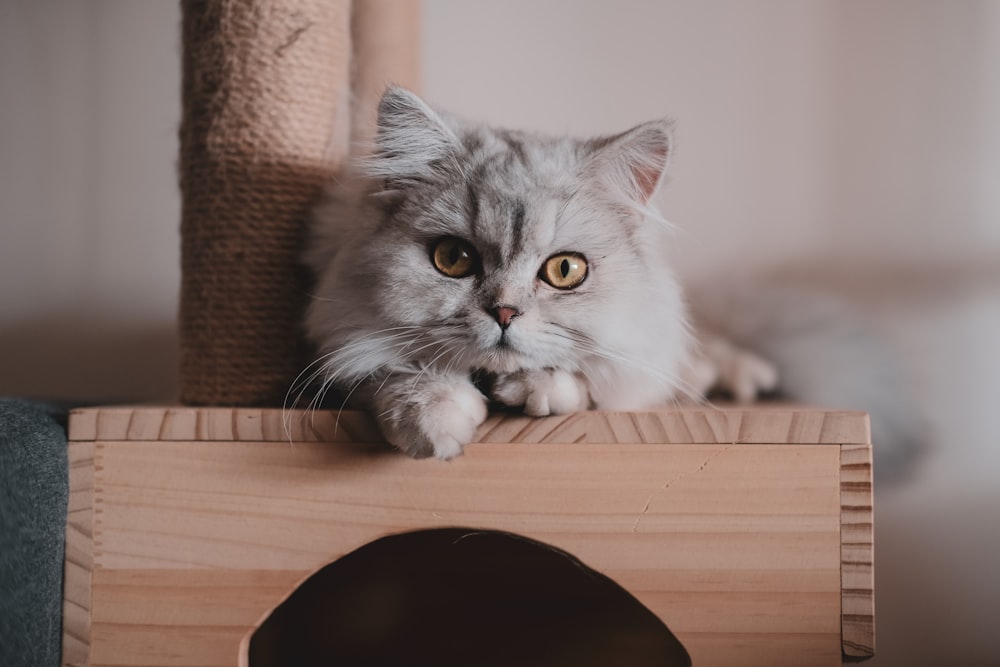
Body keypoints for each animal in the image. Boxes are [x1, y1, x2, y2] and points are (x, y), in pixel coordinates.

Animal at [300, 86, 776, 462]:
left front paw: (535, 389)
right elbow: (393, 370)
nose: (504, 314)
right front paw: (434, 421)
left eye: (565, 270)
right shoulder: (340, 334)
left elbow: (584, 378)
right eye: (453, 258)